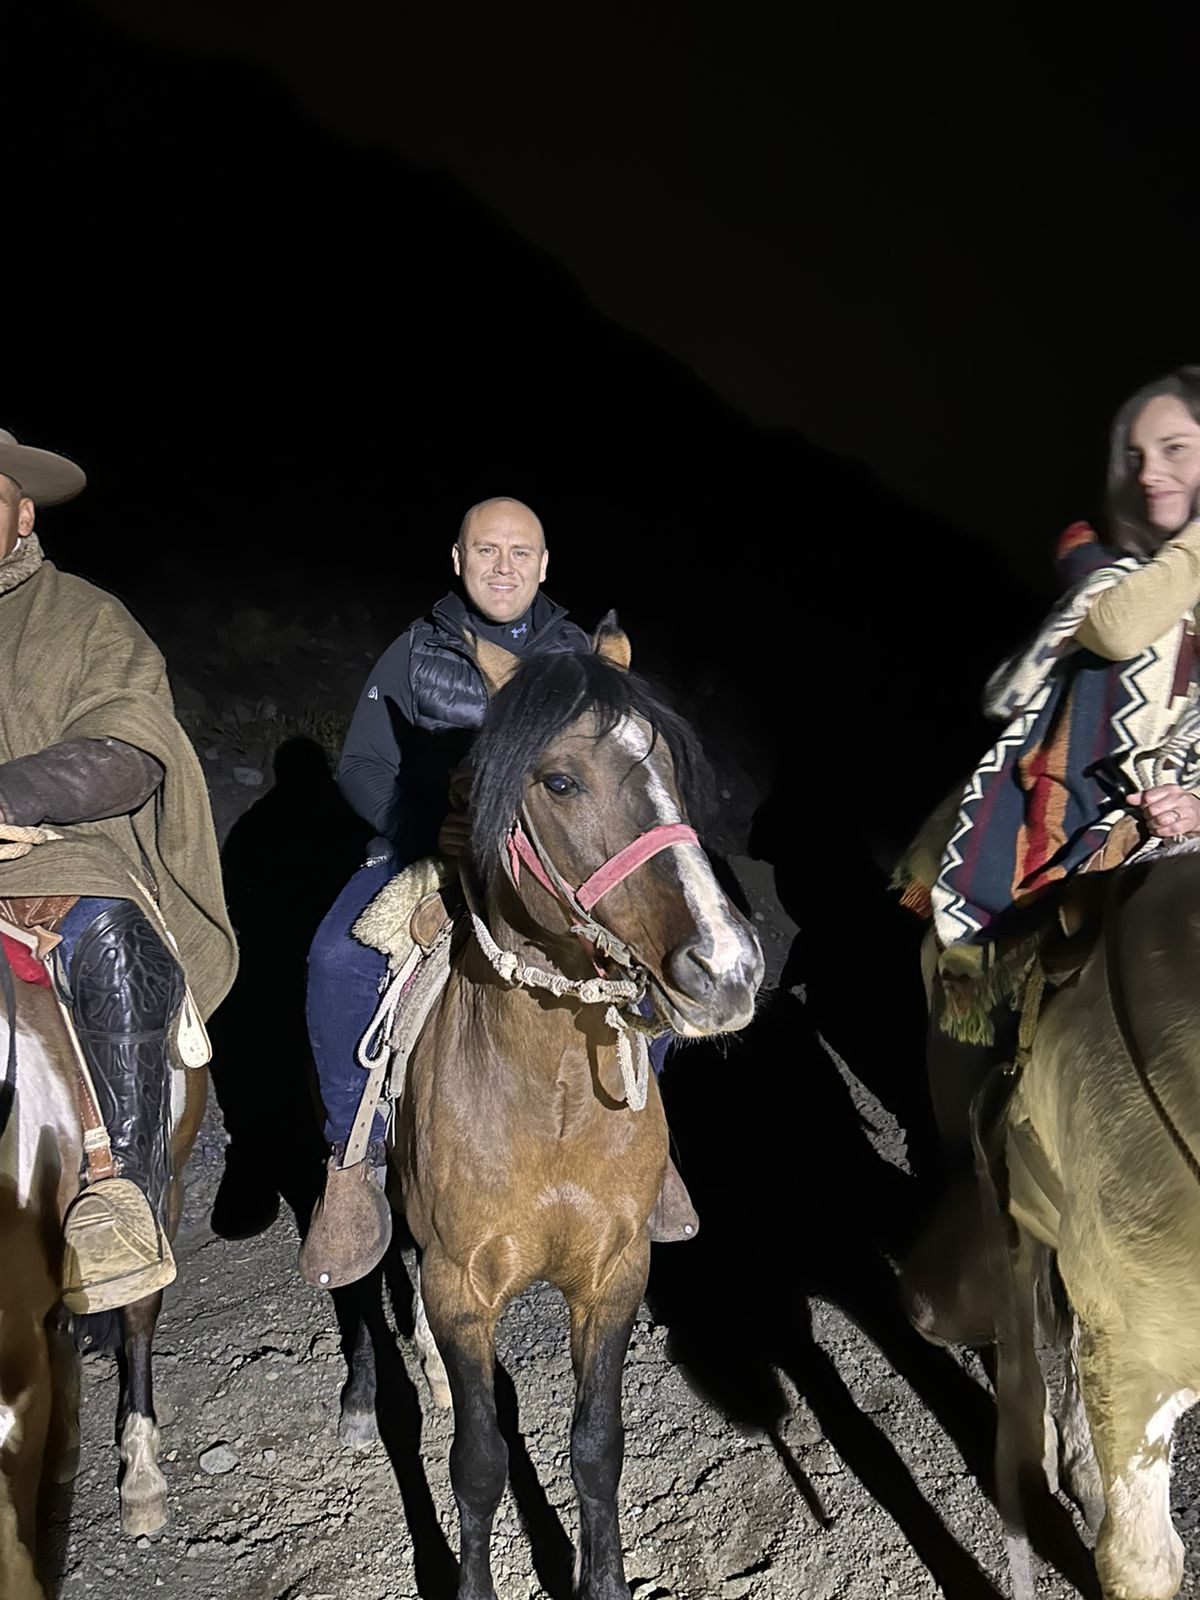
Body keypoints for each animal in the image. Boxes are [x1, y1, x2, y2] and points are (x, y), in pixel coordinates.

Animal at [352, 624, 761, 1600]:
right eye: (561, 781)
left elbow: (597, 1445)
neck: (553, 1104)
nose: (727, 970)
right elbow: (478, 1461)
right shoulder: (461, 1290)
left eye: (671, 772)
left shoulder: (614, 1274)